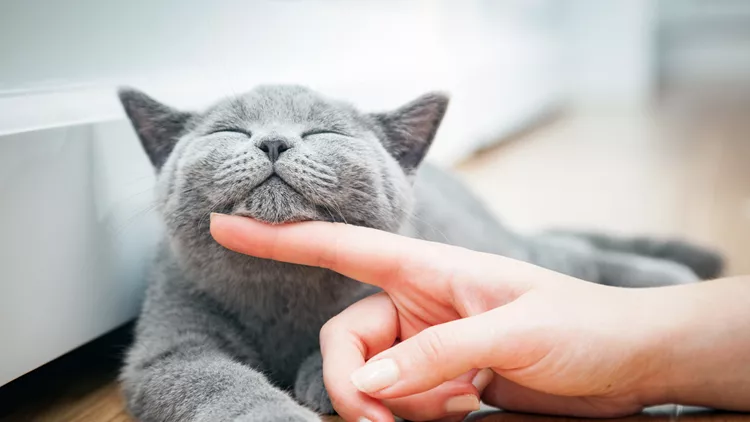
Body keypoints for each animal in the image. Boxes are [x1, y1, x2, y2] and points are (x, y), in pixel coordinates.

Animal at [117, 84, 724, 420]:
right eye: (228, 130)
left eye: (322, 133)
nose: (273, 141)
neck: (281, 288)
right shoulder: (169, 347)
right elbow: (220, 384)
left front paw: (323, 376)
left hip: (496, 247)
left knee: (563, 252)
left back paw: (673, 284)